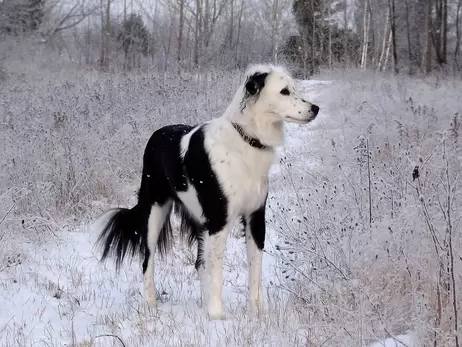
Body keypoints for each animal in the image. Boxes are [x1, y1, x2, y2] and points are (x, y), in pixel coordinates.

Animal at [95, 64, 320, 320]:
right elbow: (217, 271)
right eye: (284, 91)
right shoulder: (219, 221)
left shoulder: (255, 217)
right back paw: (151, 304)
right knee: (147, 260)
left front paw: (256, 311)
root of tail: (157, 134)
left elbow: (255, 269)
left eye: (293, 89)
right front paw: (217, 314)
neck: (247, 139)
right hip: (154, 212)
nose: (315, 109)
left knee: (199, 263)